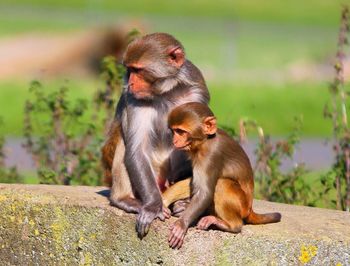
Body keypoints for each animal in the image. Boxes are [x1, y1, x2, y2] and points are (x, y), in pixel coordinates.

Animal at [101, 32, 211, 238]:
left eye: (138, 70)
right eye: (129, 70)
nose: (130, 83)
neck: (166, 92)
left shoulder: (196, 93)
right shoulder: (134, 99)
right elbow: (136, 150)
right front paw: (153, 207)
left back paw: (181, 204)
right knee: (125, 143)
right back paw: (124, 199)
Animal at [164, 102, 282, 249]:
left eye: (181, 132)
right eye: (174, 131)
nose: (174, 140)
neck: (205, 140)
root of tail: (250, 209)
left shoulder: (211, 154)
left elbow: (205, 192)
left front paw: (182, 224)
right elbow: (194, 184)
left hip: (242, 206)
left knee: (222, 184)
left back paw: (230, 225)